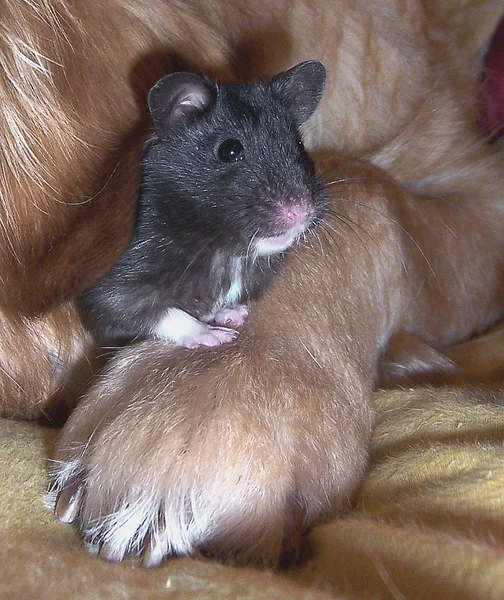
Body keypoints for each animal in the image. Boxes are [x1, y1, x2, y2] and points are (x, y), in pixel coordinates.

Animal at [79, 59, 326, 350]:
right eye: (230, 150)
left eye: (298, 144)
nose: (302, 210)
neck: (228, 253)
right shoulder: (112, 295)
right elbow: (162, 314)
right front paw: (217, 335)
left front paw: (235, 314)